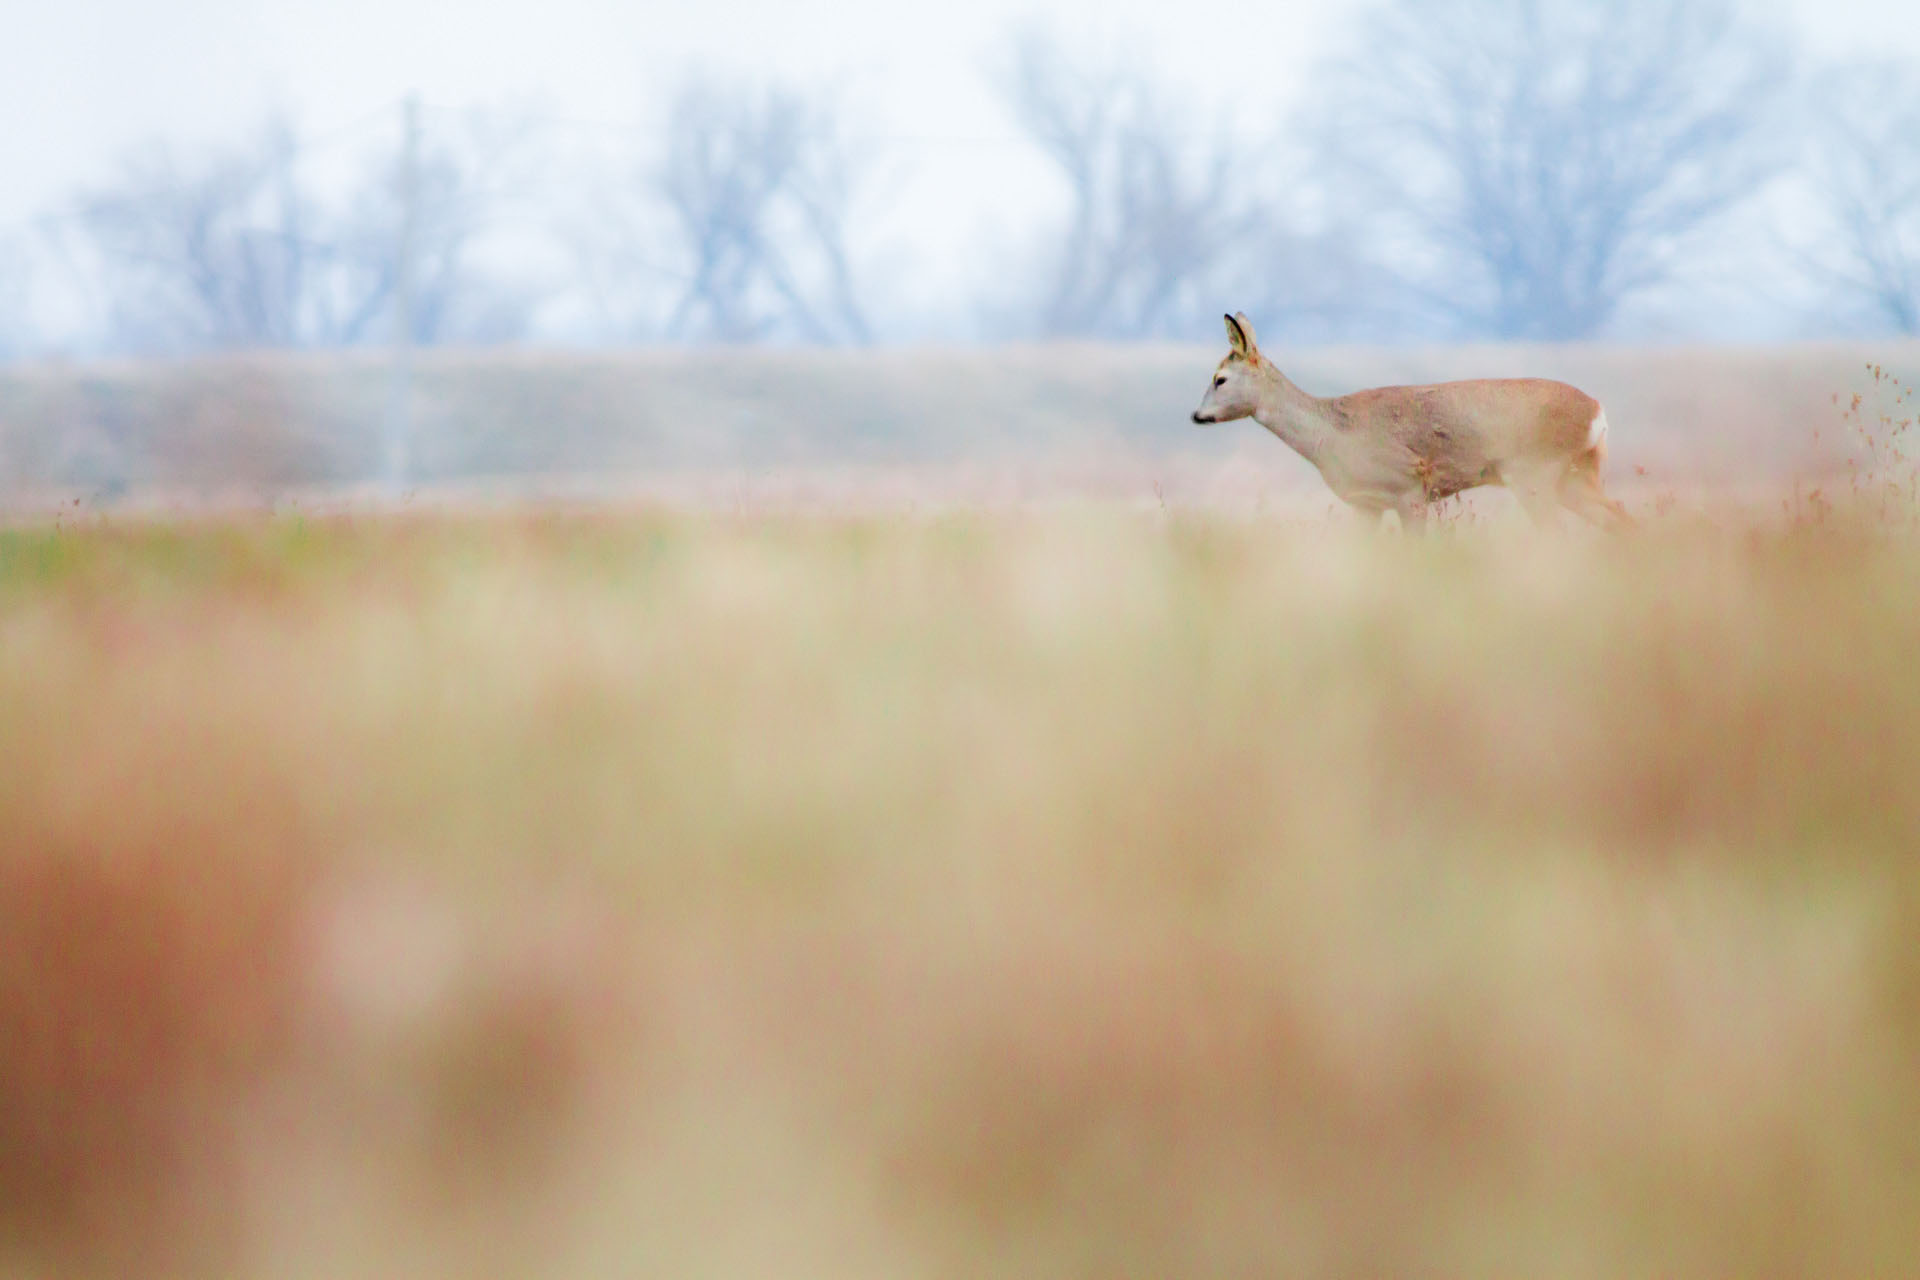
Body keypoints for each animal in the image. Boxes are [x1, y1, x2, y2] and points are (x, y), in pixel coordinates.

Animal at [1190, 310, 1628, 529]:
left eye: (1219, 378)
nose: (1196, 414)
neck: (1330, 434)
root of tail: (1598, 411)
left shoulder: (1410, 490)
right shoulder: (1365, 505)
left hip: (1535, 473)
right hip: (1576, 476)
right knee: (1622, 521)